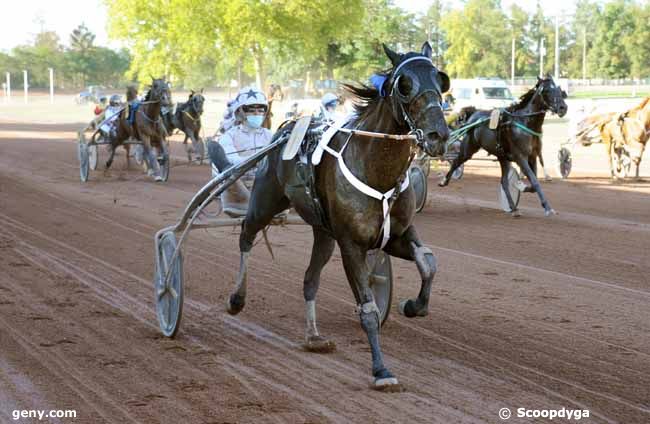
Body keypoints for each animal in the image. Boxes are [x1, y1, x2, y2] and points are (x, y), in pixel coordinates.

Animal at [223, 41, 446, 390]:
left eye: (441, 79)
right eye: (405, 84)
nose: (439, 135)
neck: (375, 170)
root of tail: (287, 128)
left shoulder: (396, 235)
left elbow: (428, 262)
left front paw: (414, 306)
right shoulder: (351, 245)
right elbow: (367, 309)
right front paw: (381, 370)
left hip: (323, 234)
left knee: (309, 279)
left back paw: (313, 337)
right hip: (265, 200)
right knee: (246, 233)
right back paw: (237, 298)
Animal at [438, 74, 564, 217]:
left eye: (559, 89)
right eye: (547, 90)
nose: (563, 107)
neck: (525, 123)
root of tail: (474, 114)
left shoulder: (532, 156)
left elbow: (533, 182)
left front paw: (520, 185)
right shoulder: (520, 157)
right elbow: (535, 181)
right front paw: (548, 208)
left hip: (502, 157)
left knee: (503, 182)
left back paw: (513, 208)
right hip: (468, 149)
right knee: (456, 161)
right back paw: (444, 181)